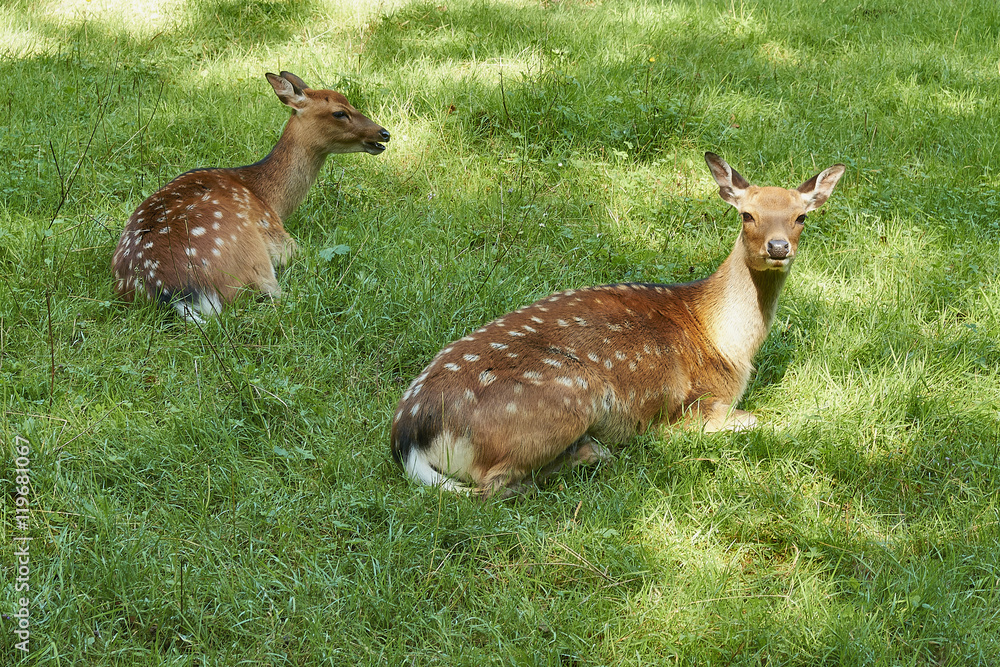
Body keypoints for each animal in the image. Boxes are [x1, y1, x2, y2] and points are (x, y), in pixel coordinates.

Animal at [111, 71, 390, 321]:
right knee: (285, 295)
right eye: (339, 112)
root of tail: (170, 294)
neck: (268, 198)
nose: (383, 133)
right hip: (251, 258)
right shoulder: (281, 239)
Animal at [390, 152, 845, 498]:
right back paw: (591, 454)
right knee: (495, 485)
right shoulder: (698, 401)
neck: (724, 341)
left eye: (801, 217)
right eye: (747, 214)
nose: (778, 247)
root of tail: (409, 434)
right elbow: (763, 420)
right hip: (566, 396)